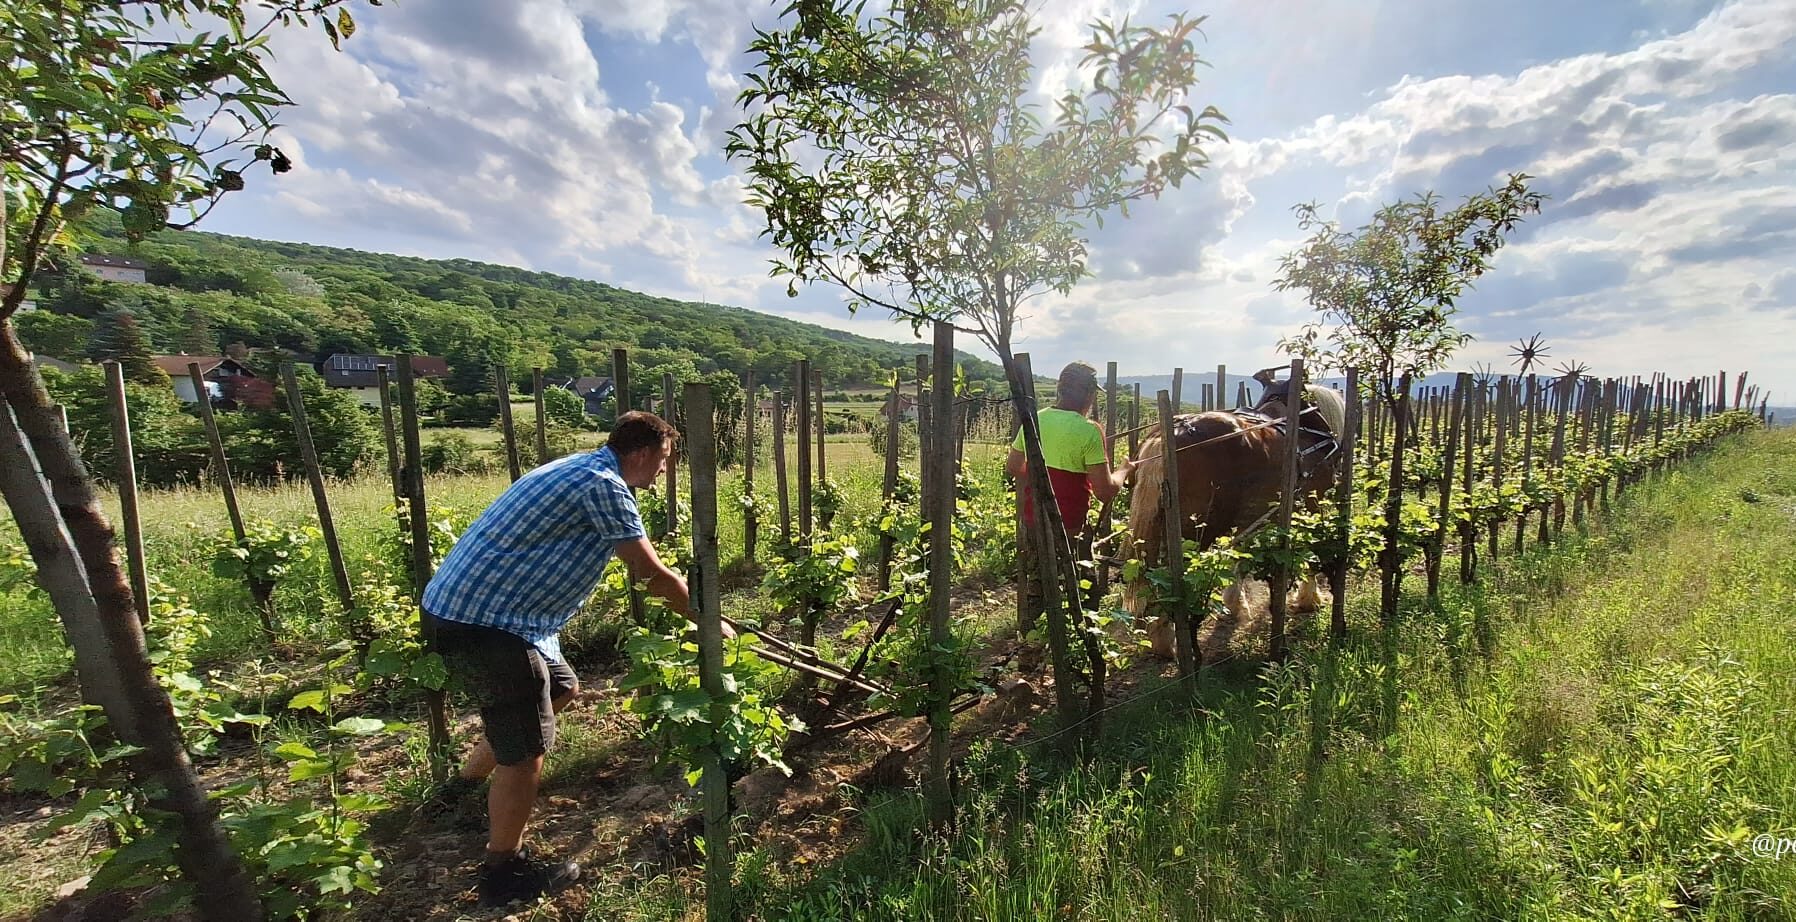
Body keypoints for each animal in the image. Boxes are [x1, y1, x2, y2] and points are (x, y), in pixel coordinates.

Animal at [1127, 377, 1343, 657]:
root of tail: (1172, 432)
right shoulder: (1311, 504)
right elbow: (1311, 552)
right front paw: (1309, 599)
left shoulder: (1252, 516)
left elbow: (1238, 553)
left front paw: (1234, 604)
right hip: (1196, 531)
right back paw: (1169, 642)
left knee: (1154, 573)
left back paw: (1160, 639)